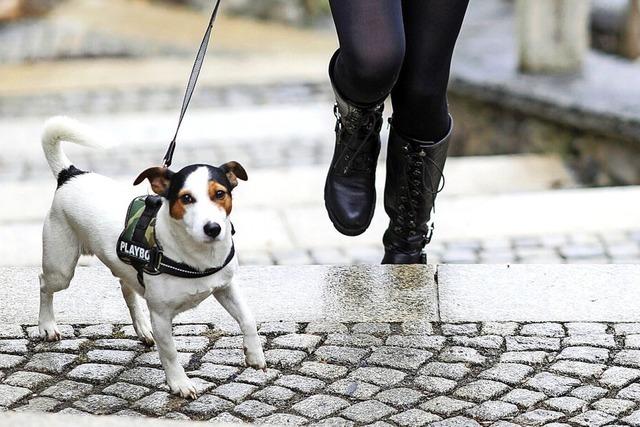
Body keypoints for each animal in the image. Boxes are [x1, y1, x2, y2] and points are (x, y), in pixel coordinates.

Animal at [37, 116, 268, 398]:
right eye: (186, 198)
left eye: (220, 194)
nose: (213, 228)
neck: (196, 257)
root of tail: (70, 175)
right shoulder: (161, 315)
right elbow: (169, 353)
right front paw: (179, 383)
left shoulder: (225, 286)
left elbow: (248, 318)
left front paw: (254, 354)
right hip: (60, 269)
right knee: (44, 284)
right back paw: (47, 325)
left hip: (123, 268)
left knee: (127, 289)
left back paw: (142, 328)